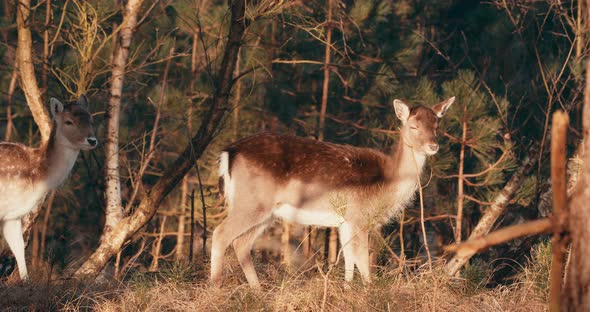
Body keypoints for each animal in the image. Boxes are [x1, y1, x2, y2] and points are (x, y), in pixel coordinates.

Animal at [0, 95, 97, 280]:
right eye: (68, 121)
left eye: (91, 119)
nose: (92, 140)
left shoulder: (12, 214)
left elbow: (18, 247)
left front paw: (25, 281)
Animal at [210, 95, 456, 288]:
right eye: (413, 126)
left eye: (437, 127)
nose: (433, 146)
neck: (388, 183)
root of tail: (229, 152)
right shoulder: (359, 216)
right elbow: (362, 262)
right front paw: (368, 293)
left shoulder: (344, 222)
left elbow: (349, 261)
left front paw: (347, 291)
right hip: (252, 203)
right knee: (220, 234)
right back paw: (216, 289)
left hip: (265, 212)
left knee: (241, 243)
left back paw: (257, 291)